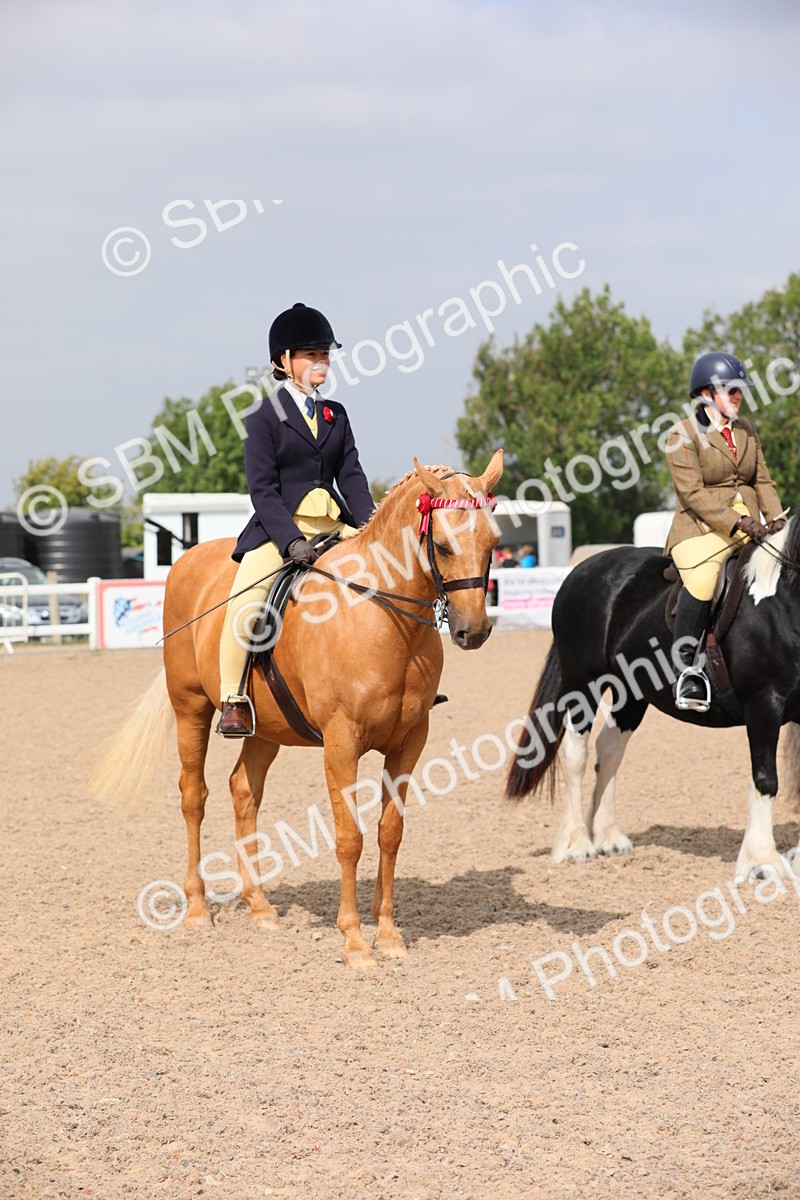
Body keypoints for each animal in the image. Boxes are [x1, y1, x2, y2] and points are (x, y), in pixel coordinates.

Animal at [91, 452, 503, 968]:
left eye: (493, 542)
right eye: (443, 546)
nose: (474, 631)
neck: (384, 618)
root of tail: (188, 558)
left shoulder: (410, 741)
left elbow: (390, 833)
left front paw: (388, 934)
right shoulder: (342, 742)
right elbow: (349, 838)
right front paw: (355, 942)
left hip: (265, 727)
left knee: (243, 791)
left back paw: (260, 906)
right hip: (191, 709)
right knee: (193, 796)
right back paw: (199, 908)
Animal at [505, 520, 800, 884]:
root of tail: (581, 571)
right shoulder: (763, 704)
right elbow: (765, 779)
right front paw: (764, 861)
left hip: (630, 693)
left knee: (609, 748)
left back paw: (608, 837)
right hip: (583, 684)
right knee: (577, 753)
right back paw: (577, 844)